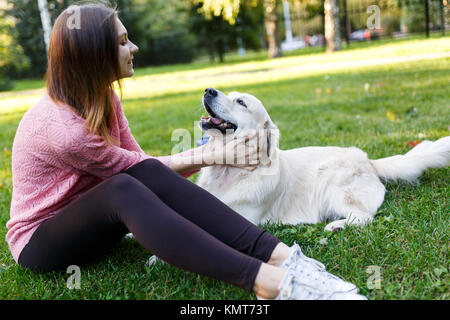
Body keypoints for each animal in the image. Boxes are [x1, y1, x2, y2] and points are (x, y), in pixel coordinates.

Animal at [198, 89, 450, 231]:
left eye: (241, 102)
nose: (209, 90)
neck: (230, 170)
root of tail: (368, 161)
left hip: (333, 184)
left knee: (364, 217)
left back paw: (337, 226)